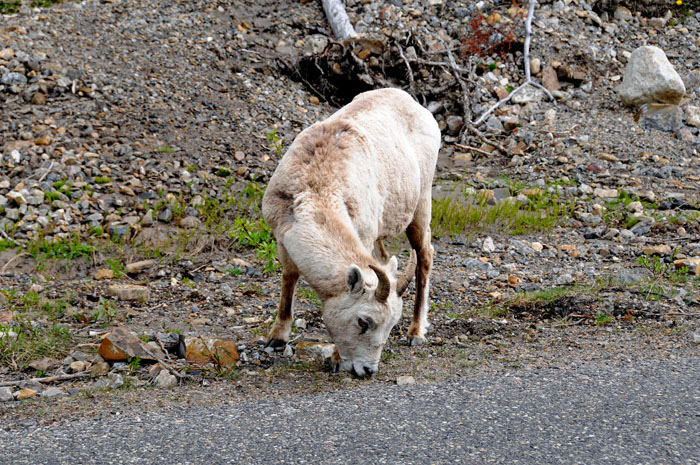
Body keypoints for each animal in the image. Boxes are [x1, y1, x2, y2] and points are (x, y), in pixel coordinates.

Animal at [262, 88, 438, 376]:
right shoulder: (281, 238)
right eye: (363, 322)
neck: (318, 187)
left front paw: (335, 360)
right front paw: (277, 338)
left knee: (424, 256)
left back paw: (416, 333)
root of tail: (414, 103)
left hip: (421, 204)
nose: (367, 370)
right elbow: (289, 277)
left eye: (390, 326)